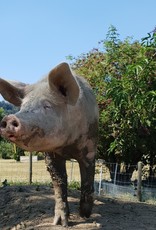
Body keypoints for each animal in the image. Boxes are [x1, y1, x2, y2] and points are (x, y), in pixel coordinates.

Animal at [0, 62, 98, 226]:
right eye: (23, 107)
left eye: (47, 105)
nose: (9, 118)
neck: (67, 145)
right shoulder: (51, 154)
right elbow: (59, 183)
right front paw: (60, 223)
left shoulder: (89, 146)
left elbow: (87, 180)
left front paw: (85, 215)